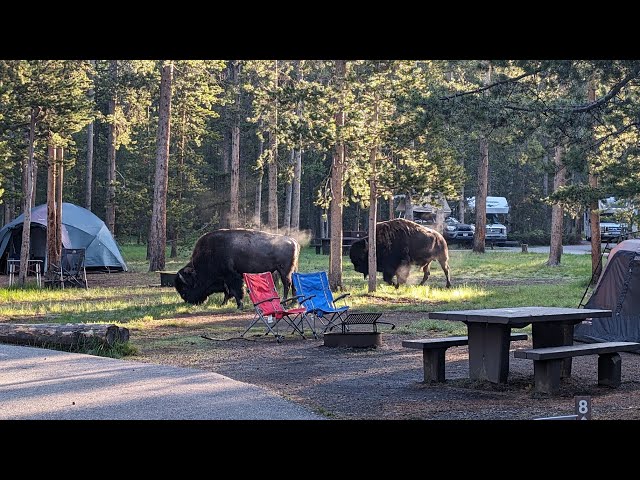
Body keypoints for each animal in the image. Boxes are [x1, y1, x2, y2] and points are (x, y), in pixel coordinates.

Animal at [174, 228, 302, 310]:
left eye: (185, 288)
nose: (189, 302)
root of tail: (293, 241)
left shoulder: (232, 276)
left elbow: (235, 291)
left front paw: (239, 305)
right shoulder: (226, 279)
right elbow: (227, 292)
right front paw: (223, 304)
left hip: (284, 271)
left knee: (287, 285)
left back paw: (284, 303)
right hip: (293, 270)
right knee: (293, 284)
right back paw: (294, 303)